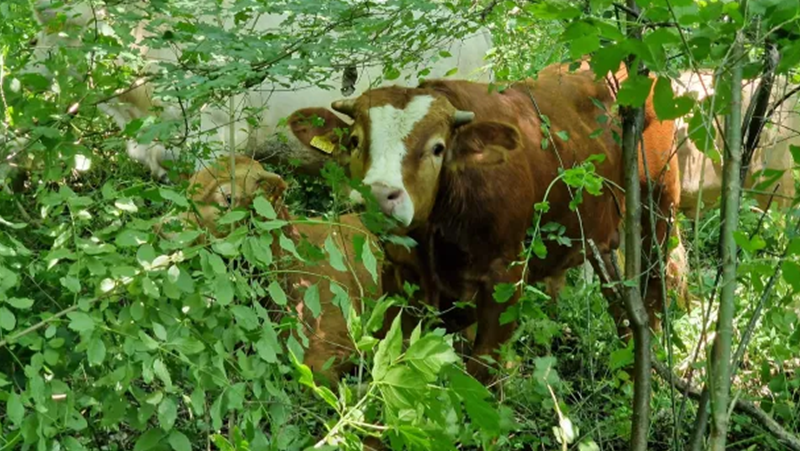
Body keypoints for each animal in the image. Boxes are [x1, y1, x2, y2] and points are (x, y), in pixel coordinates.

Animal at [296, 61, 684, 384]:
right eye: (354, 141)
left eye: (437, 148)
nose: (379, 195)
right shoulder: (399, 274)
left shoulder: (505, 279)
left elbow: (482, 370)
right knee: (619, 301)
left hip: (658, 207)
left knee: (653, 292)